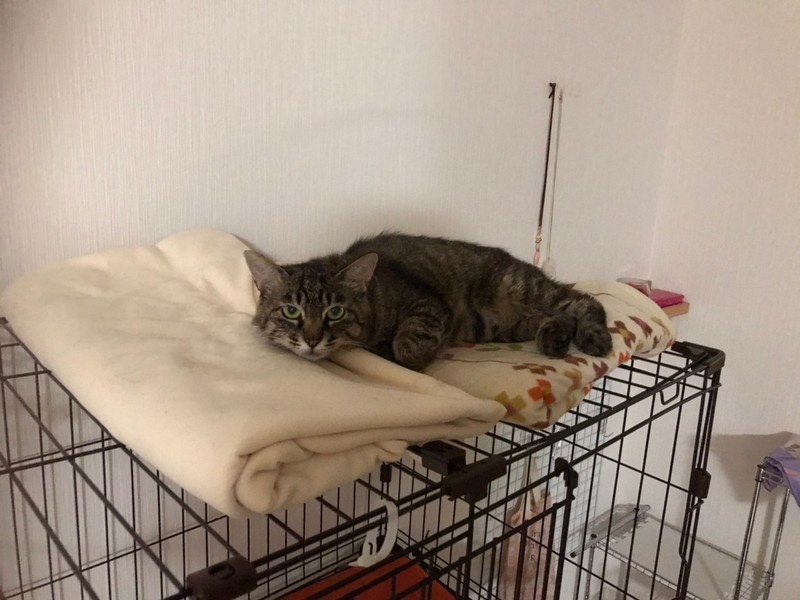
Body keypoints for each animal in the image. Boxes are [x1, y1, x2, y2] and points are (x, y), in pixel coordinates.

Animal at [244, 233, 612, 371]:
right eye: (291, 310)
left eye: (335, 312)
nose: (312, 339)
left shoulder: (428, 304)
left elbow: (408, 343)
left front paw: (403, 355)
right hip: (505, 325)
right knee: (558, 317)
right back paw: (556, 338)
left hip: (521, 287)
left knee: (585, 302)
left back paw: (594, 336)